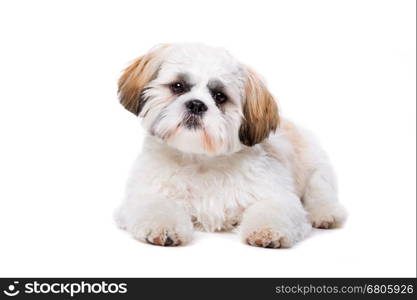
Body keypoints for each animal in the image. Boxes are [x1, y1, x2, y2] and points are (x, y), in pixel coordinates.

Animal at [114, 43, 344, 247]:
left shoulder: (278, 195)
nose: (196, 104)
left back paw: (325, 215)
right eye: (178, 86)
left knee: (319, 193)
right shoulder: (144, 193)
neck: (201, 161)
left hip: (316, 171)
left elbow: (274, 208)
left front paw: (267, 231)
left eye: (219, 96)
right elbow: (155, 205)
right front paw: (163, 228)